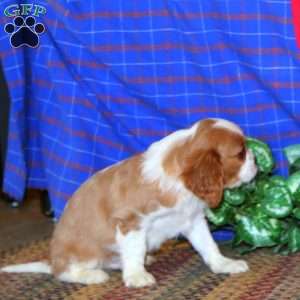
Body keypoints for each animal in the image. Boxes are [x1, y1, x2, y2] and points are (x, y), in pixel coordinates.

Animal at [1, 118, 256, 288]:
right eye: (240, 154)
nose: (257, 162)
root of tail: (52, 259)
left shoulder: (192, 220)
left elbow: (208, 245)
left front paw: (224, 264)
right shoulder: (131, 221)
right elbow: (134, 249)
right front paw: (136, 276)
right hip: (82, 252)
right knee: (62, 271)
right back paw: (90, 275)